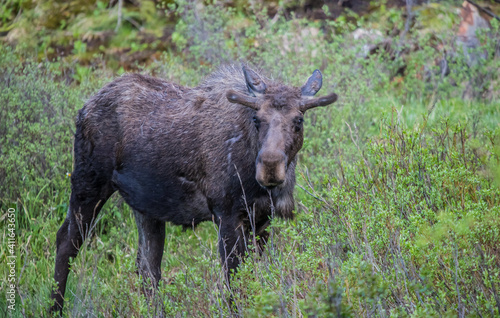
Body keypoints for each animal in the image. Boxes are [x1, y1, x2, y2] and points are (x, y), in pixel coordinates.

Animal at [50, 64, 338, 314]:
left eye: (298, 120)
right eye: (257, 119)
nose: (270, 166)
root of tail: (84, 108)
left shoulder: (262, 220)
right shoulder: (227, 216)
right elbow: (234, 284)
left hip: (145, 207)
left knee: (147, 266)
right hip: (89, 182)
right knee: (66, 241)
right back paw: (55, 308)